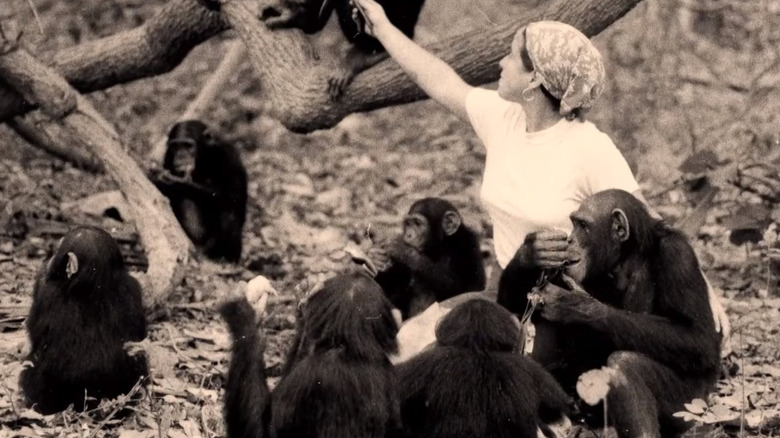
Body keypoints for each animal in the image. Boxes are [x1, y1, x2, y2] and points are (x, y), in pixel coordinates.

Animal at [151, 120, 248, 264]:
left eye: (188, 145)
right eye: (175, 146)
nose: (181, 155)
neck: (203, 158)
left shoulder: (229, 157)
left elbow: (235, 195)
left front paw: (180, 182)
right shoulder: (168, 156)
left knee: (228, 213)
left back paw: (224, 259)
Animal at [500, 189, 720, 438]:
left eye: (582, 225)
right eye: (573, 224)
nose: (569, 239)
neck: (627, 259)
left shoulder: (678, 257)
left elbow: (697, 338)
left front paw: (576, 306)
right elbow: (514, 305)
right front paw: (535, 249)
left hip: (691, 409)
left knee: (624, 366)